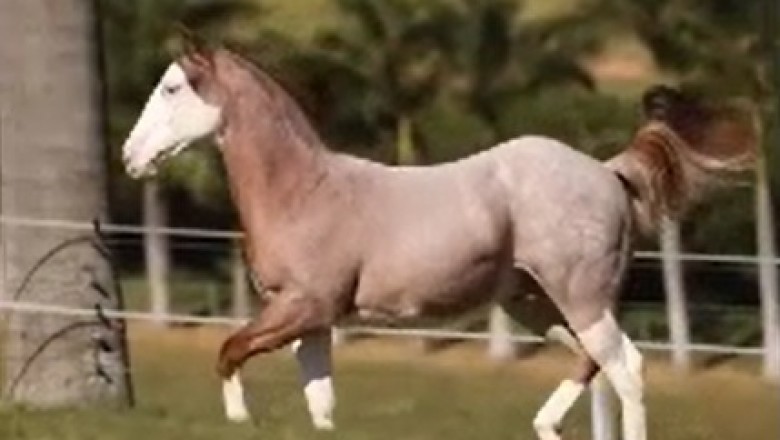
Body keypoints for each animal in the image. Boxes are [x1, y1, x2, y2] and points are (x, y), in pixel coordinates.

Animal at [121, 43, 757, 440]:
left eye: (173, 87)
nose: (130, 156)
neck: (304, 192)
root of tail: (607, 172)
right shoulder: (312, 321)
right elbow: (320, 403)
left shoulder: (302, 306)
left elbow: (229, 351)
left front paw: (237, 420)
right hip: (531, 303)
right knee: (591, 360)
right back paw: (544, 426)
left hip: (581, 299)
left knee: (626, 367)